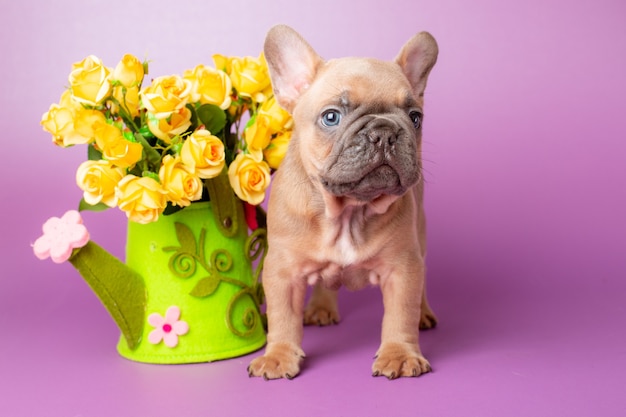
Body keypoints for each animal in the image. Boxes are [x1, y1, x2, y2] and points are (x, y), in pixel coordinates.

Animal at [246, 24, 436, 378]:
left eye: (416, 117)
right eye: (331, 117)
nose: (384, 131)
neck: (348, 211)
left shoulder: (403, 267)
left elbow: (400, 315)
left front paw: (400, 355)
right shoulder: (282, 272)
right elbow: (282, 318)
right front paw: (278, 356)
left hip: (421, 236)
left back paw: (424, 312)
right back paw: (320, 307)